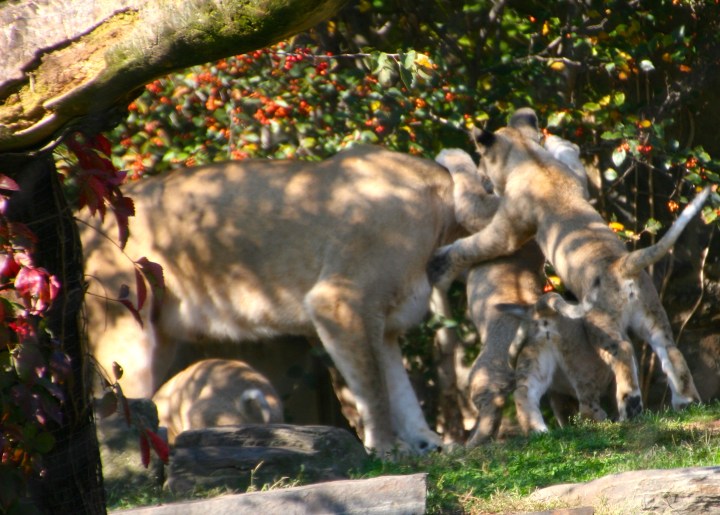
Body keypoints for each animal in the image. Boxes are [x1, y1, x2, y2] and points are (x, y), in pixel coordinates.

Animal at [80, 144, 465, 456]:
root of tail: (84, 217)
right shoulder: (342, 301)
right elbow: (374, 390)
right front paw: (387, 449)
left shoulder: (384, 324)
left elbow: (400, 391)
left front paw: (428, 443)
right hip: (126, 327)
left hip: (161, 336)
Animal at [429, 107, 711, 421]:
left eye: (481, 161)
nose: (483, 174)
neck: (529, 157)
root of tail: (623, 263)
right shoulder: (579, 181)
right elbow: (572, 158)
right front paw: (558, 141)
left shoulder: (504, 227)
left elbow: (470, 237)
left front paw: (450, 155)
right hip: (653, 315)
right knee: (671, 351)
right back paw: (687, 402)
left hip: (598, 323)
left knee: (623, 351)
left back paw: (630, 408)